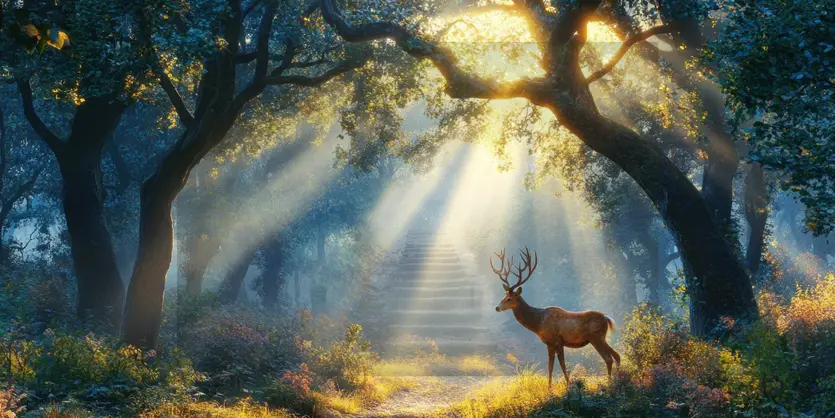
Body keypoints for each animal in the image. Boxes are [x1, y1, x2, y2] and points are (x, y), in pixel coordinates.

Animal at [491, 247, 621, 389]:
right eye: (504, 296)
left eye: (509, 298)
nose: (497, 307)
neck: (538, 323)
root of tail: (606, 318)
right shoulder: (549, 343)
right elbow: (550, 367)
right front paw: (550, 388)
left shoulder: (557, 341)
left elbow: (562, 366)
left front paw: (568, 386)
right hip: (601, 337)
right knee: (617, 355)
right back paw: (620, 378)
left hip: (596, 337)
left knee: (608, 358)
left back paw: (610, 382)